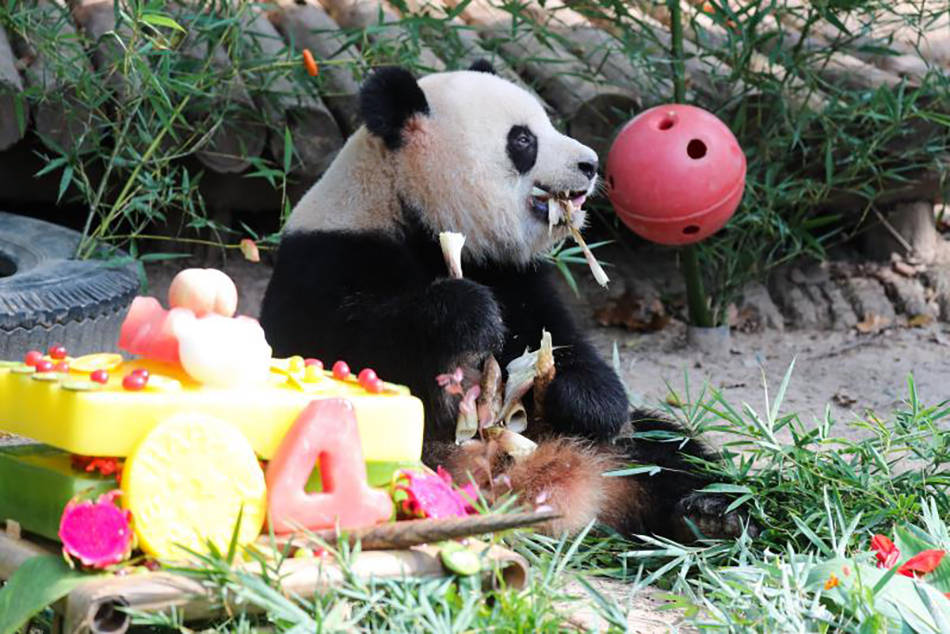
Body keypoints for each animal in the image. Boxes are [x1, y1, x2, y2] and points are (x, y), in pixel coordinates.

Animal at [260, 59, 752, 540]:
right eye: (523, 139)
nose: (590, 163)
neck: (410, 206)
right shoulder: (328, 258)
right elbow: (345, 346)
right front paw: (466, 316)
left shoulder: (512, 273)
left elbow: (563, 340)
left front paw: (586, 400)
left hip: (620, 455)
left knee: (667, 453)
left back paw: (708, 514)